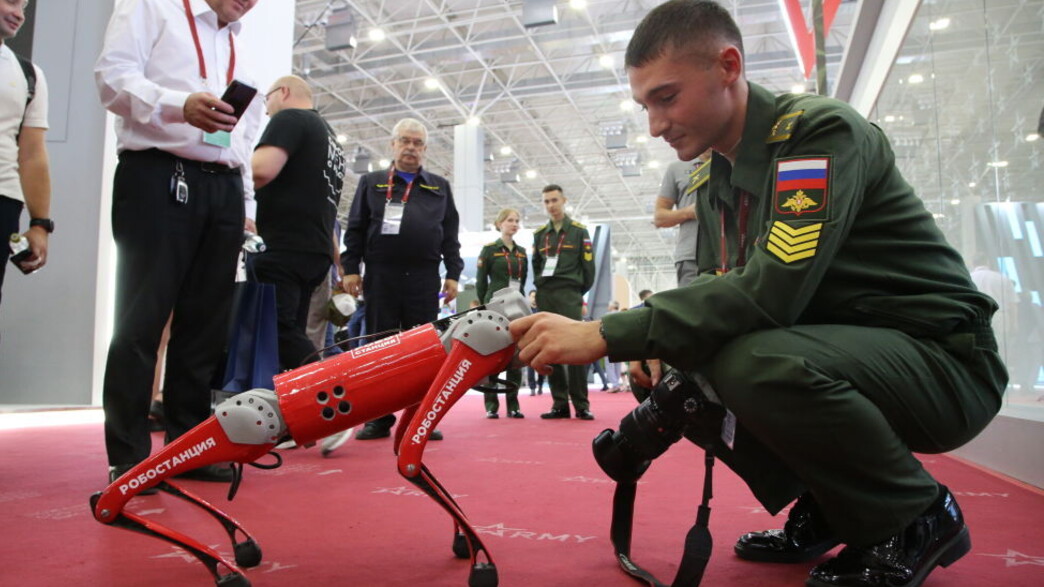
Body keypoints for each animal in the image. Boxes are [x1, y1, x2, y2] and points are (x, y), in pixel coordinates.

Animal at [88, 288, 530, 584]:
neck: (447, 339)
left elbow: (408, 451)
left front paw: (465, 543)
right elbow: (409, 459)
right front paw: (482, 562)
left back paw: (232, 544)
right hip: (255, 425)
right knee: (121, 494)